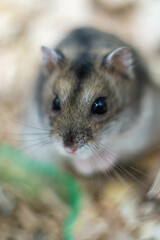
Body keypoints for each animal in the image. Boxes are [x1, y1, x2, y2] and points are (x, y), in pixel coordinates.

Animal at [22, 27, 160, 180]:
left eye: (100, 106)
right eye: (55, 102)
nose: (69, 149)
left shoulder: (137, 135)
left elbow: (117, 150)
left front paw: (99, 163)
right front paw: (86, 165)